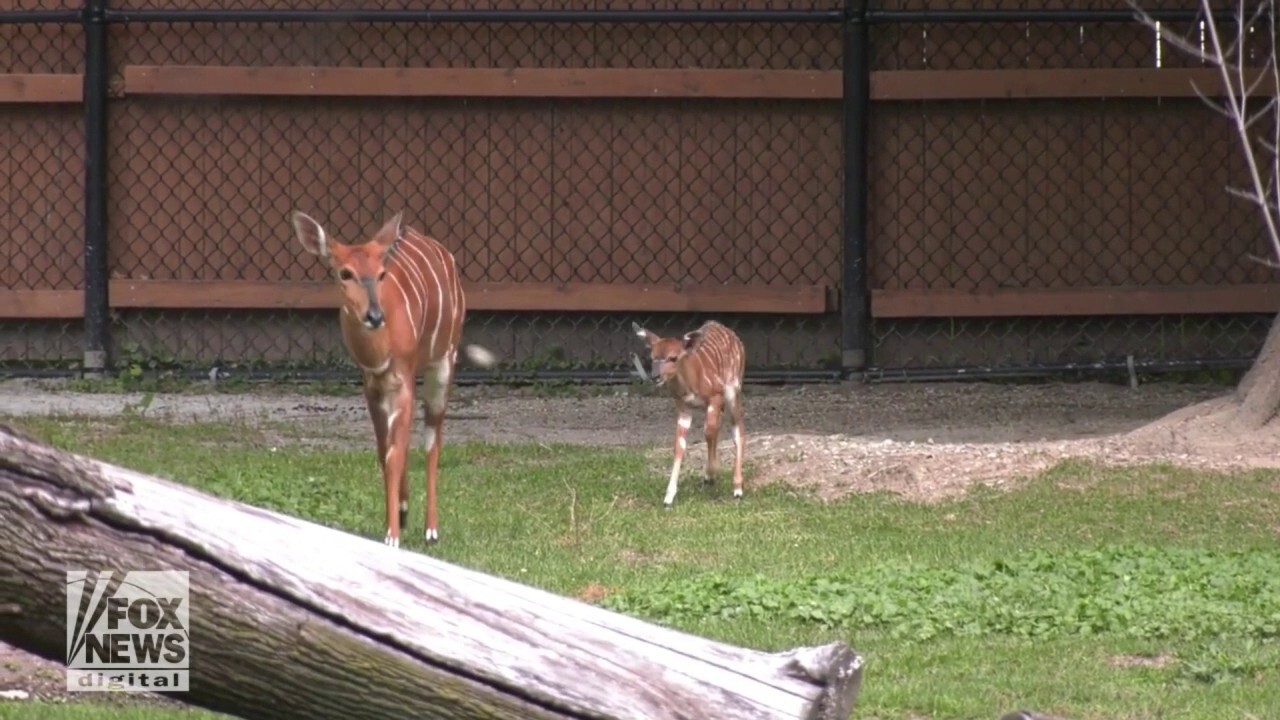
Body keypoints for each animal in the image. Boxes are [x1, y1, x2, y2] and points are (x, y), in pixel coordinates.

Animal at [293, 210, 496, 545]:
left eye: (381, 274)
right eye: (345, 273)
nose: (374, 316)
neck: (379, 353)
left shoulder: (404, 379)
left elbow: (395, 453)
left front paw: (392, 537)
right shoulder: (372, 386)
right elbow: (384, 452)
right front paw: (397, 518)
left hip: (443, 362)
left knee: (432, 439)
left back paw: (431, 530)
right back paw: (404, 510)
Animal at [632, 316, 747, 507]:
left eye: (673, 357)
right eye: (652, 357)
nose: (655, 377)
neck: (691, 384)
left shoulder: (716, 395)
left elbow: (708, 431)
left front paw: (711, 473)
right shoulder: (683, 408)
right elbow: (679, 445)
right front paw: (668, 497)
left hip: (733, 390)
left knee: (737, 428)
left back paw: (737, 488)